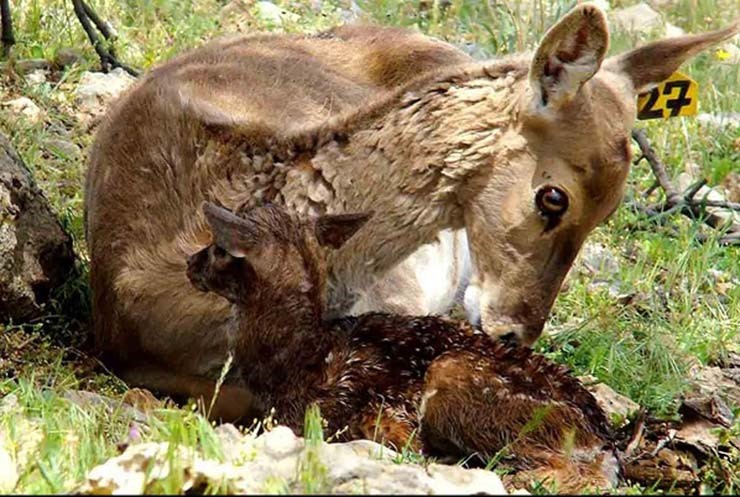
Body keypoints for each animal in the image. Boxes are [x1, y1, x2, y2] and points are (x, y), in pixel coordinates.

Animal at [186, 201, 620, 492]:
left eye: (220, 249)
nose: (191, 263)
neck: (297, 356)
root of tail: (602, 436)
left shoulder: (360, 410)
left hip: (457, 379)